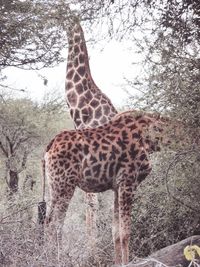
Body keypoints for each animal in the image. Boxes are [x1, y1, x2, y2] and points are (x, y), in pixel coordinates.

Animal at [44, 111, 166, 266]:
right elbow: (125, 232)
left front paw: (118, 263)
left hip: (54, 187)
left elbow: (116, 232)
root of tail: (51, 145)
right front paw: (127, 263)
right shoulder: (128, 182)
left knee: (48, 222)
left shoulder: (117, 187)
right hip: (65, 186)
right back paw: (58, 260)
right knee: (56, 225)